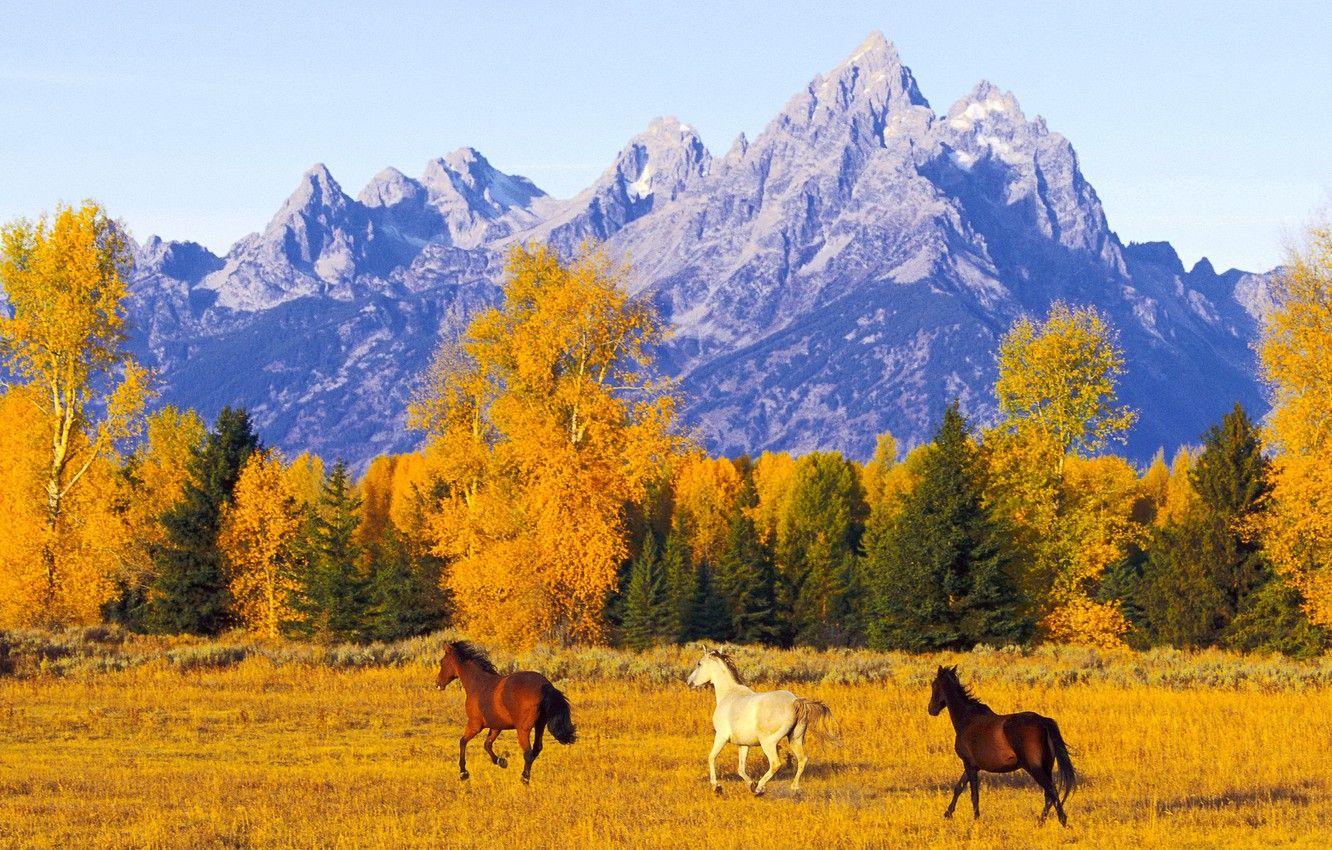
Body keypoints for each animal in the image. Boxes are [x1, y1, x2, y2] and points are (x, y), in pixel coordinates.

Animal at [435, 640, 577, 785]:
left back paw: (524, 779)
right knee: (536, 749)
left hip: (523, 729)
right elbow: (487, 744)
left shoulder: (475, 725)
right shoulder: (496, 727)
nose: (437, 683)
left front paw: (463, 773)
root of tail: (546, 686)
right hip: (540, 726)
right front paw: (501, 761)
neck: (477, 684)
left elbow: (462, 741)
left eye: (442, 662)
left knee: (528, 752)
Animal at [686, 648, 834, 796]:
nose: (689, 682)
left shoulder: (721, 736)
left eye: (699, 664)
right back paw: (794, 787)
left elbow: (711, 757)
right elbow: (741, 769)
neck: (729, 695)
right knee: (802, 759)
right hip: (795, 739)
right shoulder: (743, 744)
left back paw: (759, 788)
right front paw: (751, 783)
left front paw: (716, 786)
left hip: (768, 743)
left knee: (775, 764)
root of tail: (795, 701)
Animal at [928, 665, 1076, 825]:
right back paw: (1040, 822)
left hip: (1035, 768)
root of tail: (1043, 721)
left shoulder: (968, 764)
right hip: (1046, 767)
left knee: (1051, 791)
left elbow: (974, 794)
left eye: (934, 684)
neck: (968, 719)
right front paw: (948, 813)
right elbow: (959, 787)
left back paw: (1062, 821)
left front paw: (976, 819)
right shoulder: (973, 766)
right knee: (1049, 794)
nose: (931, 709)